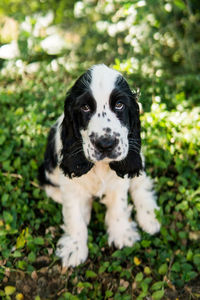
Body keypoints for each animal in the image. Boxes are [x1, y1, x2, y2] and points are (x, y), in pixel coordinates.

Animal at [38, 63, 161, 268]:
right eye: (85, 107)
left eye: (119, 105)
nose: (105, 144)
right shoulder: (67, 183)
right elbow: (73, 215)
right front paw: (74, 248)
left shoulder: (121, 178)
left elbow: (119, 205)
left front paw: (122, 233)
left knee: (140, 183)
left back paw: (150, 217)